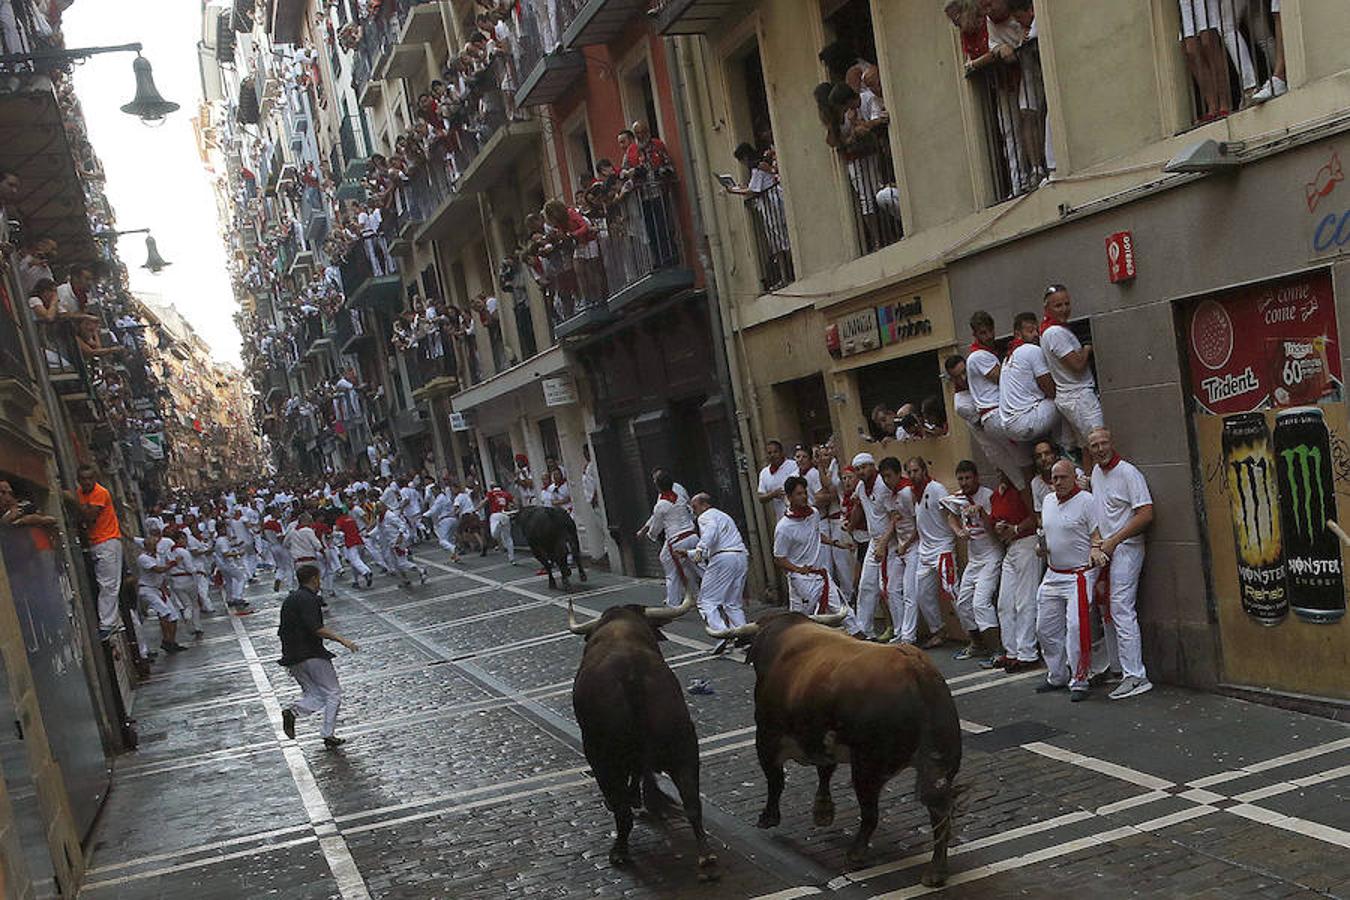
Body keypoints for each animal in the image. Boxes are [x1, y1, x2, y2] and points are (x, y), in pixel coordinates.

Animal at [567, 593, 723, 885]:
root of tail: (631, 676)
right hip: (685, 746)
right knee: (692, 802)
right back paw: (706, 858)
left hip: (601, 756)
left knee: (622, 811)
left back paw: (619, 850)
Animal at [707, 612, 961, 885]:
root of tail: (916, 668)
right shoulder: (821, 740)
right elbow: (825, 771)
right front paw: (823, 811)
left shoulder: (766, 736)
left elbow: (776, 781)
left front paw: (768, 817)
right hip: (942, 765)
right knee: (939, 813)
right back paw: (936, 870)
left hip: (867, 767)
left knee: (871, 814)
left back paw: (856, 854)